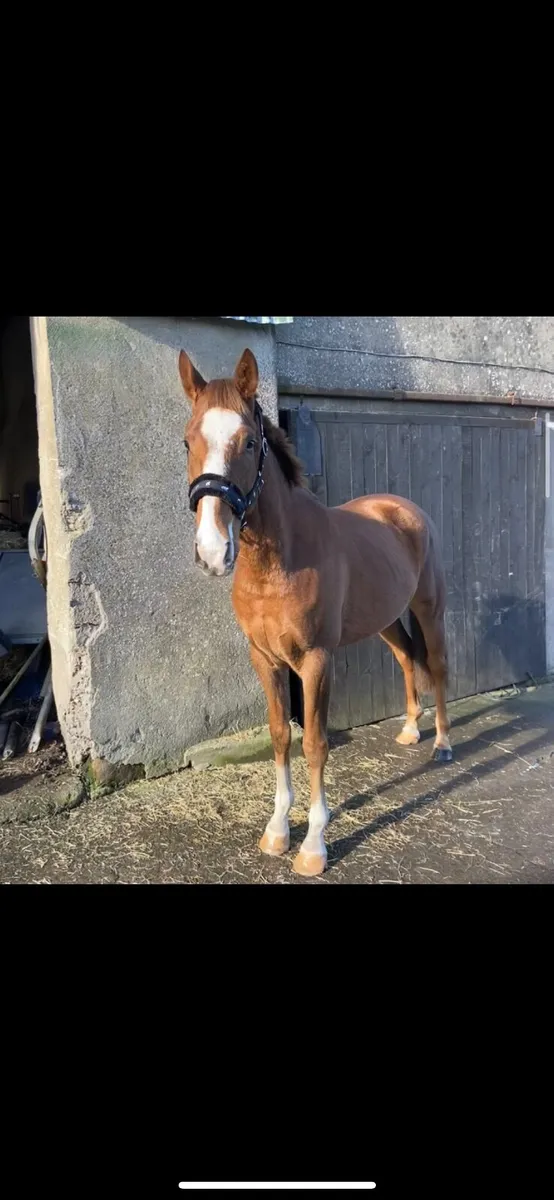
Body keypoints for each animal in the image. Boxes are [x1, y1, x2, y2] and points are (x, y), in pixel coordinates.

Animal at [178, 347, 452, 878]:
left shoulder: (316, 661)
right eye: (187, 441)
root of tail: (407, 510)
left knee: (437, 665)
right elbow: (280, 736)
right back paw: (411, 730)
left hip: (429, 609)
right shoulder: (265, 659)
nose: (211, 551)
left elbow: (314, 743)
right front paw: (277, 831)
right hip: (386, 621)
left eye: (248, 442)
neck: (278, 563)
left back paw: (443, 744)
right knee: (407, 659)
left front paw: (313, 846)